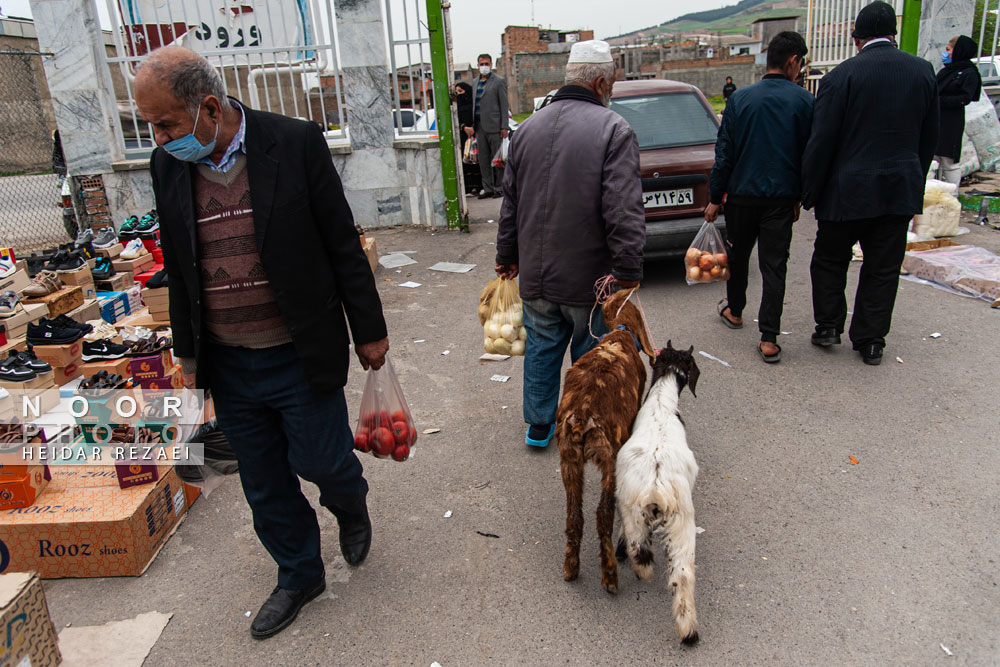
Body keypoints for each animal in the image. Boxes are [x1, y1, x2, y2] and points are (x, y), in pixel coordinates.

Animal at [556, 290, 656, 592]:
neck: (621, 335)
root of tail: (582, 415)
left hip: (569, 460)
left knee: (574, 515)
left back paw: (570, 568)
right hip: (610, 459)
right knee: (603, 515)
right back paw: (610, 575)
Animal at [616, 342, 704, 644]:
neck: (661, 403)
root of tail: (656, 486)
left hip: (634, 509)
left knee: (640, 549)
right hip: (680, 521)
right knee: (681, 573)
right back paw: (689, 631)